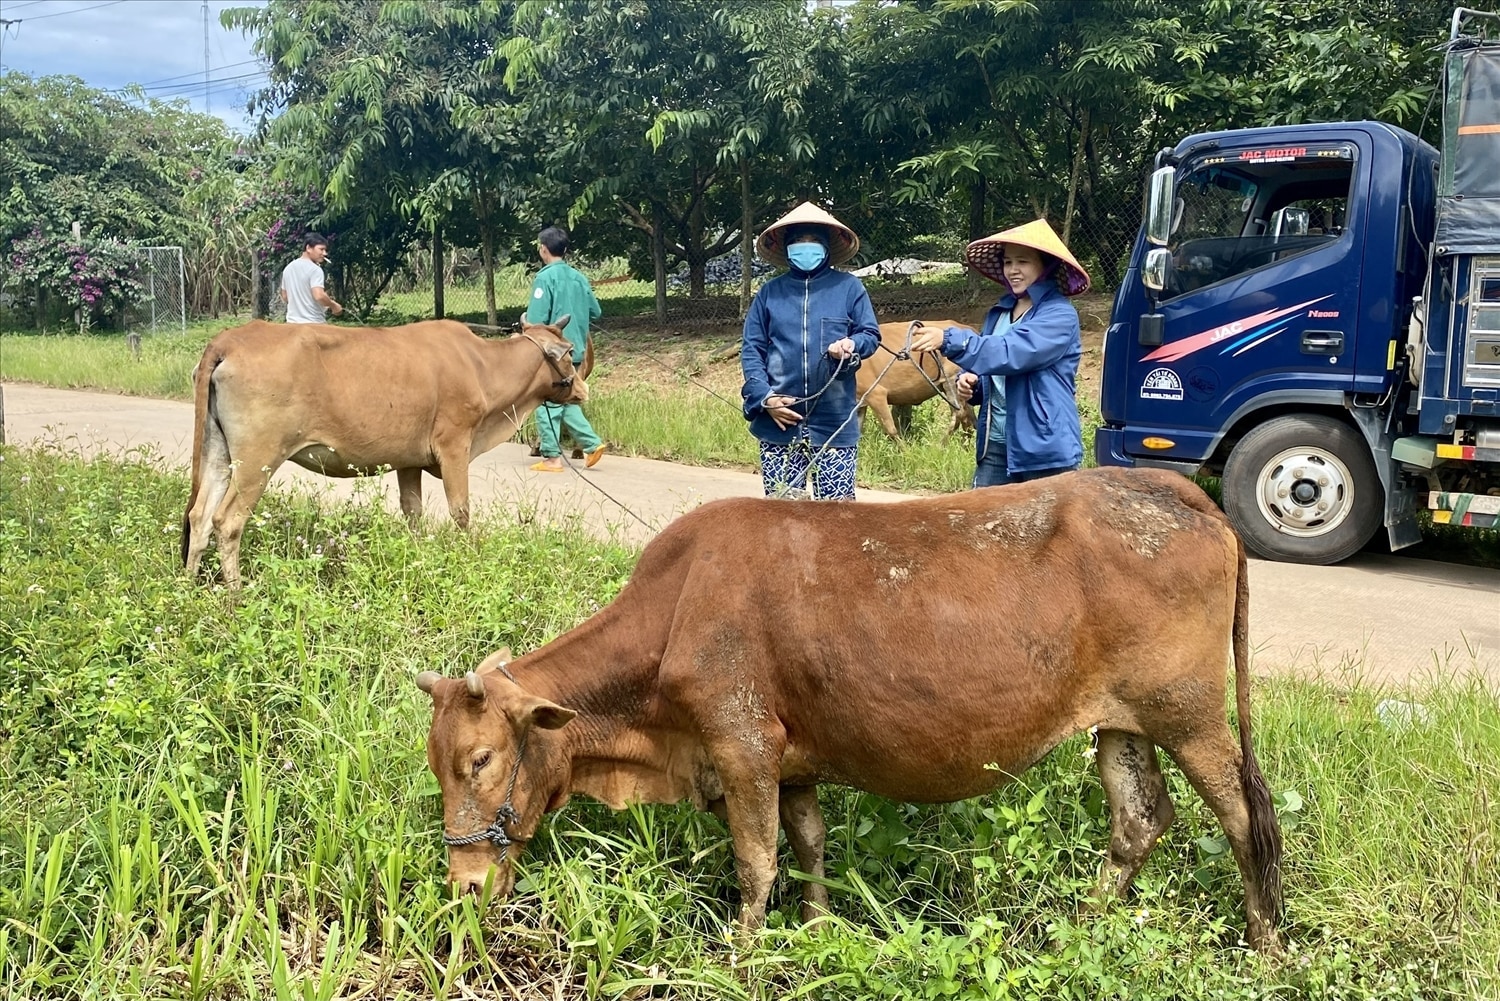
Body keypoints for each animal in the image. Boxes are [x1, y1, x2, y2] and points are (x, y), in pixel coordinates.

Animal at [181, 319, 585, 588]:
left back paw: (187, 585)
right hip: (258, 459)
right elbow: (461, 512)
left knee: (199, 516)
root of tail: (228, 340)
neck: (482, 365)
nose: (583, 389)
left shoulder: (409, 462)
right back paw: (235, 595)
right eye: (570, 354)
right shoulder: (455, 444)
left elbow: (413, 513)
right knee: (227, 521)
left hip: (219, 453)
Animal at [420, 471, 1290, 954]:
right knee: (1140, 819)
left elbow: (757, 862)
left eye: (481, 760)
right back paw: (1078, 925)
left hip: (1190, 716)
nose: (462, 886)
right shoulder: (791, 759)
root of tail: (1169, 489)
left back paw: (1266, 946)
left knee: (1244, 817)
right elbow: (808, 846)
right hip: (1121, 723)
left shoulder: (741, 744)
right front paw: (814, 931)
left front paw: (741, 956)